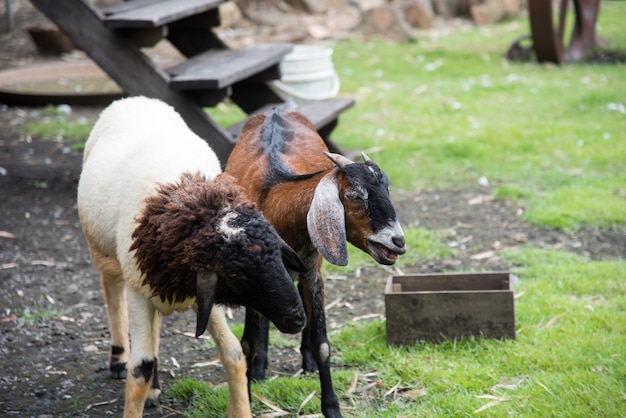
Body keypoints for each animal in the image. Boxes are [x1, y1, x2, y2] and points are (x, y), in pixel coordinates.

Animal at [77, 96, 306, 416]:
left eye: (277, 256)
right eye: (235, 272)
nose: (297, 318)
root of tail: (134, 99)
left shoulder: (200, 294)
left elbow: (234, 353)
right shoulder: (141, 290)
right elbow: (139, 370)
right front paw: (137, 382)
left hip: (151, 281)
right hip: (106, 255)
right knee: (112, 295)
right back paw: (119, 358)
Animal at [224, 105, 404, 418]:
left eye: (388, 189)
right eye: (354, 195)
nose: (398, 241)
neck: (275, 202)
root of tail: (275, 108)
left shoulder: (312, 271)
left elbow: (322, 344)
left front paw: (331, 407)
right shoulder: (254, 276)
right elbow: (249, 343)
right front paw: (246, 391)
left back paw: (305, 362)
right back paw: (259, 369)